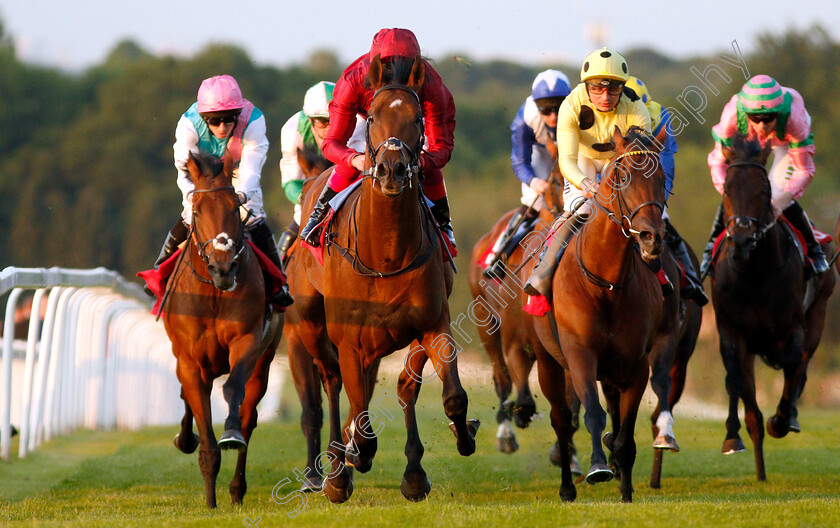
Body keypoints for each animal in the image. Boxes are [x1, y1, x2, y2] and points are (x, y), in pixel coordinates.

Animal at [162, 152, 284, 508]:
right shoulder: (189, 361)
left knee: (249, 414)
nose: (223, 268)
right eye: (198, 210)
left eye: (235, 207)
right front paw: (209, 500)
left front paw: (230, 435)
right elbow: (200, 416)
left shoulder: (247, 342)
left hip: (264, 361)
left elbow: (233, 390)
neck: (213, 294)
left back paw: (236, 489)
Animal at [292, 54, 476, 504]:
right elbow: (361, 420)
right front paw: (346, 466)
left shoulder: (432, 322)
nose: (392, 169)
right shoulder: (350, 339)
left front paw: (442, 452)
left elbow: (449, 396)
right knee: (332, 382)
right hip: (310, 323)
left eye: (417, 118)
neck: (387, 252)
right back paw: (336, 466)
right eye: (373, 116)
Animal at [532, 126, 676, 502]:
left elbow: (624, 431)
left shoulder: (636, 364)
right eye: (622, 178)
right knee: (561, 418)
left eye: (662, 178)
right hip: (549, 361)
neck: (606, 284)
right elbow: (592, 415)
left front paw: (626, 491)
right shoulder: (580, 354)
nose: (652, 238)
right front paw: (598, 467)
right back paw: (567, 487)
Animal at [708, 137, 832, 482]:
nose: (741, 240)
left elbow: (793, 364)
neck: (755, 272)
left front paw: (781, 420)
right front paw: (732, 437)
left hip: (818, 313)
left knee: (803, 363)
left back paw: (788, 418)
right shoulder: (732, 333)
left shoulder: (792, 329)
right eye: (726, 190)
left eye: (763, 191)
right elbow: (736, 382)